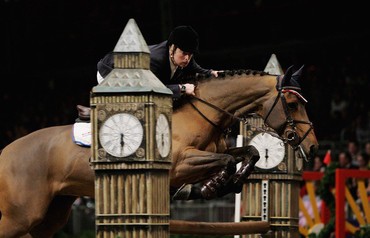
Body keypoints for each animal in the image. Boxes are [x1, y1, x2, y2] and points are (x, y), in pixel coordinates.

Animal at [0, 65, 318, 238]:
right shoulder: (180, 165)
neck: (202, 114)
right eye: (292, 105)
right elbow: (227, 160)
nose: (312, 146)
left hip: (52, 214)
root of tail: (6, 152)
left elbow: (250, 151)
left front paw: (226, 184)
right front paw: (213, 186)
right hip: (21, 216)